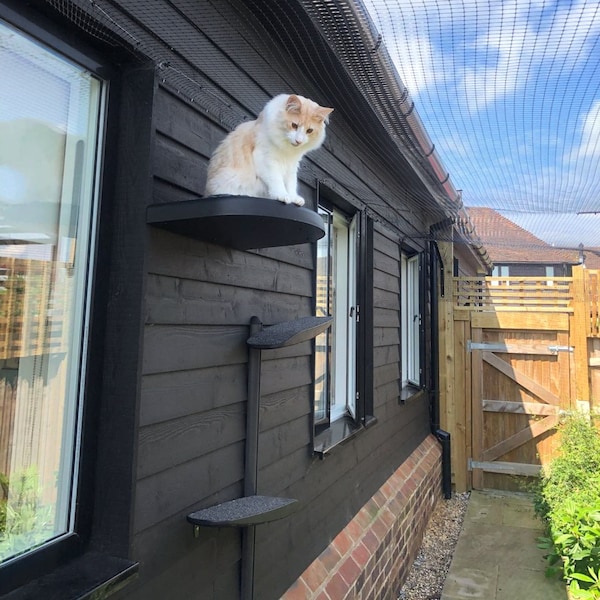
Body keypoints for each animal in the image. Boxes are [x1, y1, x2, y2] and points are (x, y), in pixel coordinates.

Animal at [203, 94, 332, 206]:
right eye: (294, 125)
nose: (298, 141)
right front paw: (282, 195)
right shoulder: (267, 160)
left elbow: (291, 183)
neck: (287, 150)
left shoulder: (291, 166)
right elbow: (277, 180)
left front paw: (293, 197)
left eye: (309, 131)